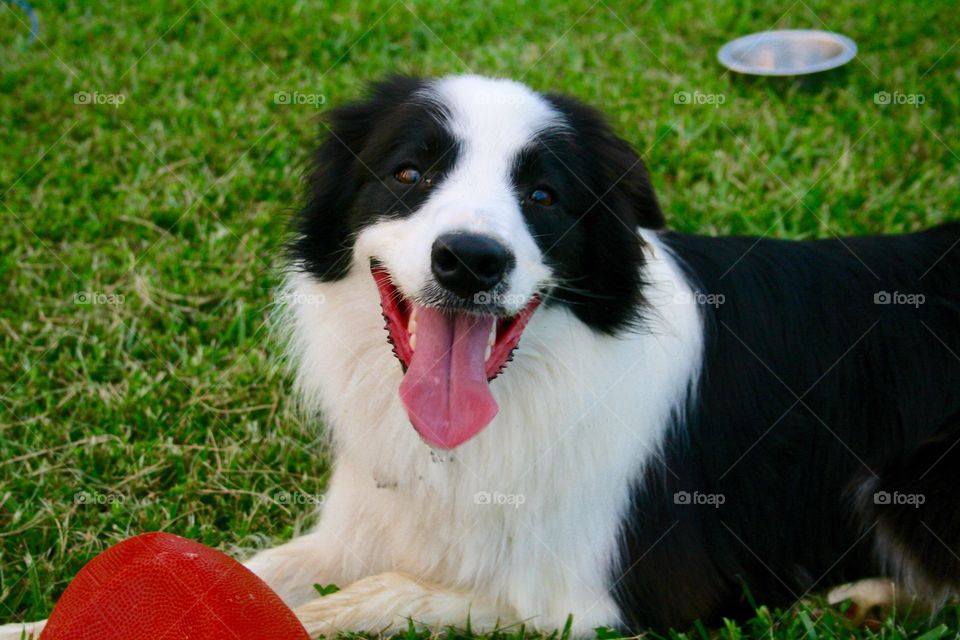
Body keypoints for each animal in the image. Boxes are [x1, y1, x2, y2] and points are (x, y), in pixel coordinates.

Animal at [7, 75, 960, 636]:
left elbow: (372, 599)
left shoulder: (599, 599)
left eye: (543, 195)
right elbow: (264, 571)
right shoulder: (371, 520)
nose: (470, 261)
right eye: (409, 173)